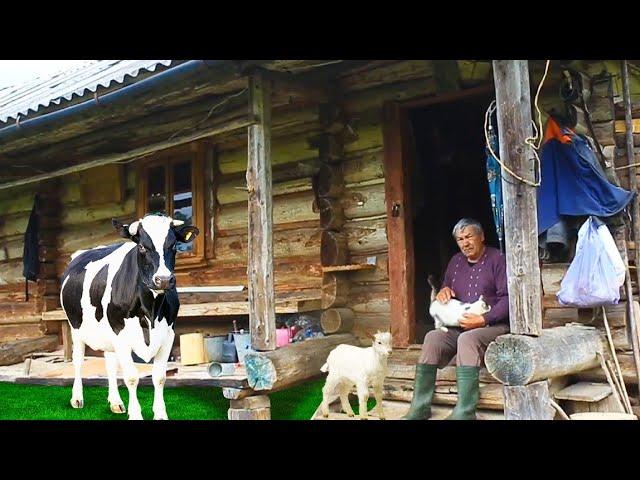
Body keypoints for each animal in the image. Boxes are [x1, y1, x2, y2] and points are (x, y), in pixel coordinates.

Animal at [60, 214, 200, 420]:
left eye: (174, 245)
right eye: (141, 246)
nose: (164, 280)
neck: (150, 309)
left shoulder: (168, 334)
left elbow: (160, 377)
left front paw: (160, 414)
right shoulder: (120, 335)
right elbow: (132, 377)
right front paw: (136, 415)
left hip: (108, 334)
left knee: (110, 364)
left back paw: (115, 402)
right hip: (76, 328)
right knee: (78, 361)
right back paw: (77, 398)